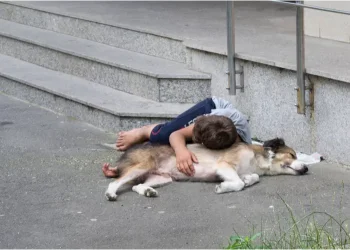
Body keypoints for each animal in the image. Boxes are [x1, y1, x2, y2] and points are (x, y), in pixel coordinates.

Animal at [104, 138, 306, 200]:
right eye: (292, 155)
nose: (305, 169)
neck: (258, 159)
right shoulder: (224, 165)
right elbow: (238, 183)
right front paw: (223, 187)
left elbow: (252, 177)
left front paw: (248, 179)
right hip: (144, 165)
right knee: (116, 182)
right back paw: (111, 194)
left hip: (162, 177)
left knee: (135, 186)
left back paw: (148, 191)